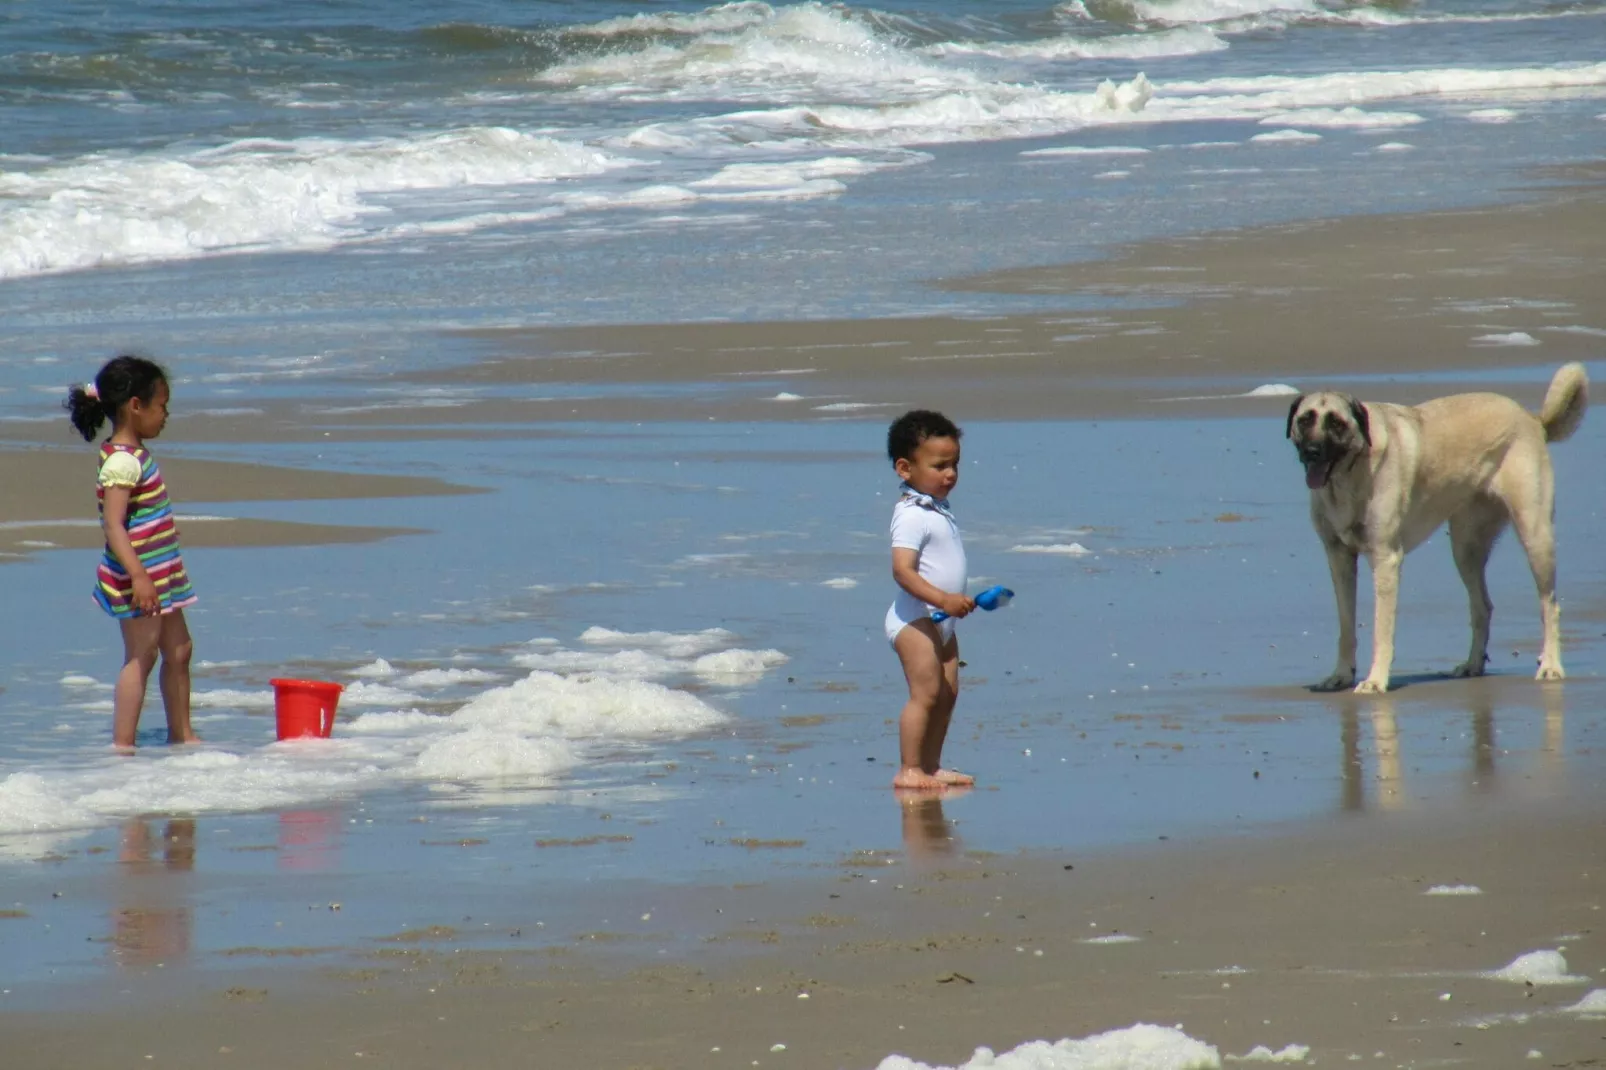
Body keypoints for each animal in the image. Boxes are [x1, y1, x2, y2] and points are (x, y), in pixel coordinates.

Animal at [1284, 359, 1586, 690]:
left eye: (1336, 423)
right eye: (1305, 420)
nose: (1312, 452)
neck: (1348, 477)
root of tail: (1532, 418)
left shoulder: (1385, 560)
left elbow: (1381, 629)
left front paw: (1376, 680)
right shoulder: (1339, 559)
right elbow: (1346, 625)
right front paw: (1340, 675)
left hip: (1535, 536)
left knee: (1549, 605)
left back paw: (1551, 665)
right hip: (1465, 548)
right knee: (1482, 606)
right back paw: (1472, 664)